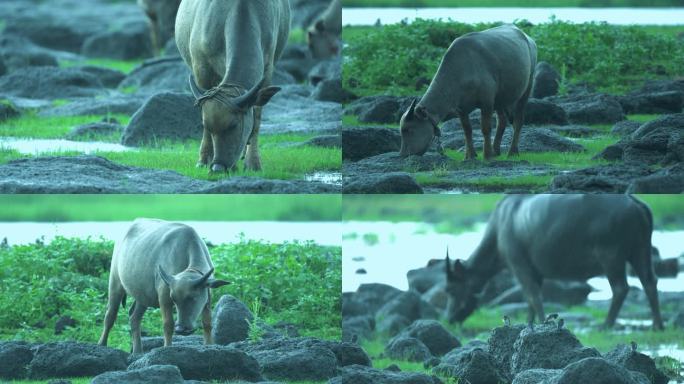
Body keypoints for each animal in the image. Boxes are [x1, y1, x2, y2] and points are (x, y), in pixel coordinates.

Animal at [97, 219, 230, 354]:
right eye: (174, 299)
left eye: (193, 298)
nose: (181, 329)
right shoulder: (164, 296)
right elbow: (168, 324)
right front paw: (167, 347)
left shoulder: (207, 297)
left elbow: (207, 323)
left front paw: (209, 345)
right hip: (115, 283)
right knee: (110, 316)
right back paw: (102, 344)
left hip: (143, 296)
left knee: (134, 317)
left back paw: (138, 351)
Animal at [175, 0, 290, 172]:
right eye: (207, 126)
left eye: (234, 125)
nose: (218, 167)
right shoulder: (201, 68)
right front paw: (203, 160)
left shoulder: (268, 67)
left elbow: (256, 118)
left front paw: (253, 163)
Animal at [398, 24, 536, 160]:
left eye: (408, 130)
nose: (403, 154)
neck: (461, 72)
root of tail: (528, 39)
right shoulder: (461, 109)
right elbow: (467, 130)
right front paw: (470, 155)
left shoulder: (487, 102)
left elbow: (485, 128)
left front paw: (487, 154)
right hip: (500, 98)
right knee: (501, 121)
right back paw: (496, 151)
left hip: (526, 88)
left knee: (518, 121)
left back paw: (512, 152)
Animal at [444, 195, 664, 330]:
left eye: (451, 289)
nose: (449, 319)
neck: (499, 230)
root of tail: (634, 203)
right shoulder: (536, 273)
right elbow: (530, 301)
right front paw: (530, 322)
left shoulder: (519, 267)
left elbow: (533, 297)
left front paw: (542, 322)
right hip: (640, 251)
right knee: (649, 281)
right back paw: (657, 325)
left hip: (612, 257)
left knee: (620, 288)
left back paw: (606, 325)